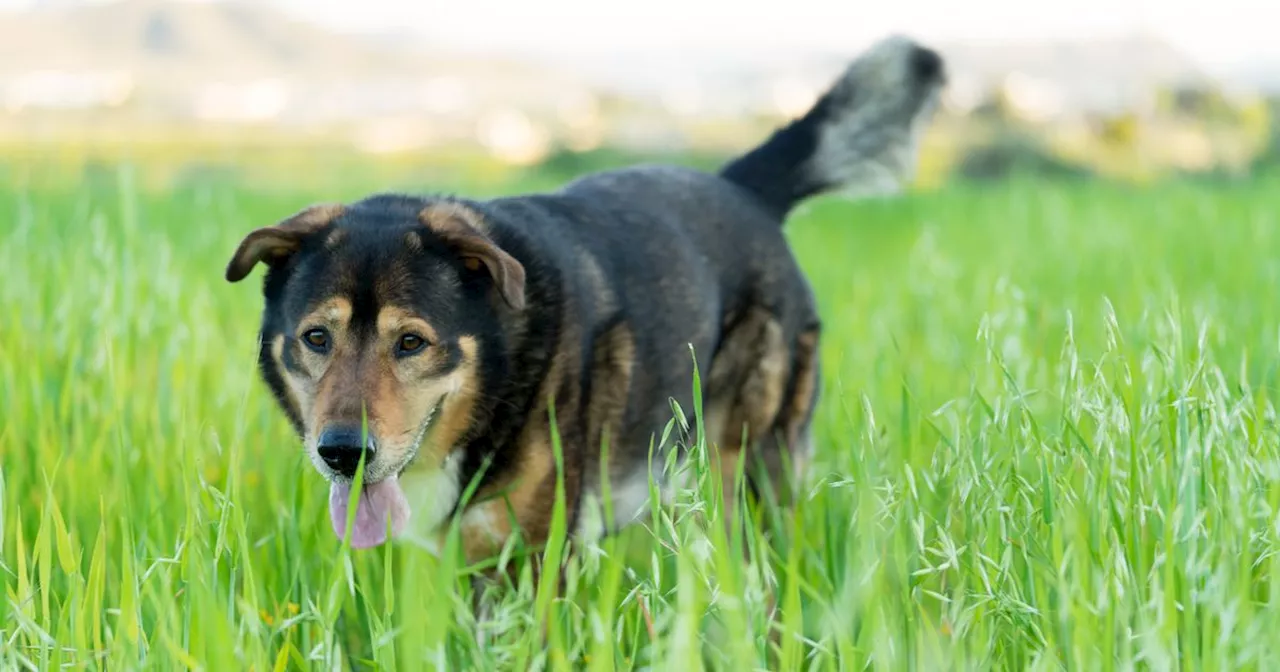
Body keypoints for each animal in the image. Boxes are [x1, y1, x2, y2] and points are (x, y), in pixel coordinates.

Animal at [225, 37, 947, 560]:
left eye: (411, 343)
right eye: (317, 338)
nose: (343, 453)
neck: (498, 374)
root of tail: (744, 189)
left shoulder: (534, 558)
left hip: (750, 466)